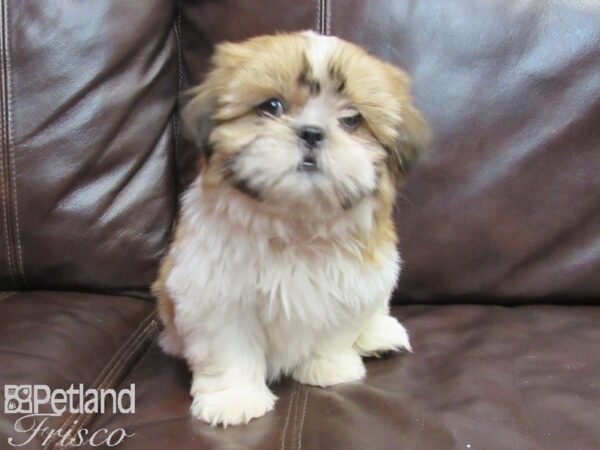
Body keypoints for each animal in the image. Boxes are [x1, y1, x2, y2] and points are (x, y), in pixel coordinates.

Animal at [152, 30, 428, 426]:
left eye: (351, 120)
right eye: (272, 106)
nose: (312, 133)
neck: (297, 223)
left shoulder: (352, 283)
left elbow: (335, 330)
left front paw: (328, 368)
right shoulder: (213, 294)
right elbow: (229, 348)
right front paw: (234, 399)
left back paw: (378, 334)